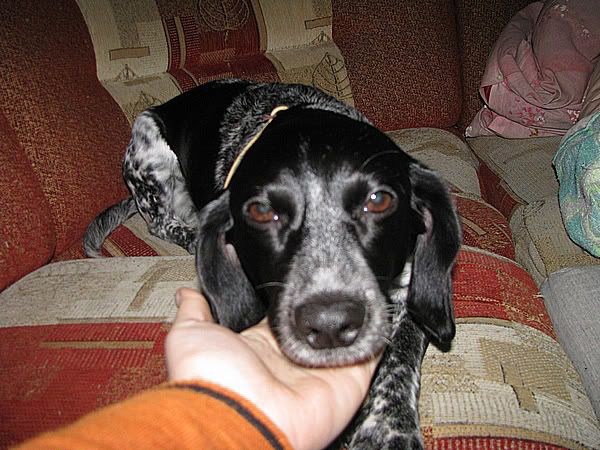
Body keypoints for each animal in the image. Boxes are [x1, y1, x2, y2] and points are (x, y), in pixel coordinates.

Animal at [84, 79, 461, 449]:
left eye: (379, 200)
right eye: (261, 211)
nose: (329, 323)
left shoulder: (406, 296)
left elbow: (399, 362)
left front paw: (387, 429)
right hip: (150, 152)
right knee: (161, 223)